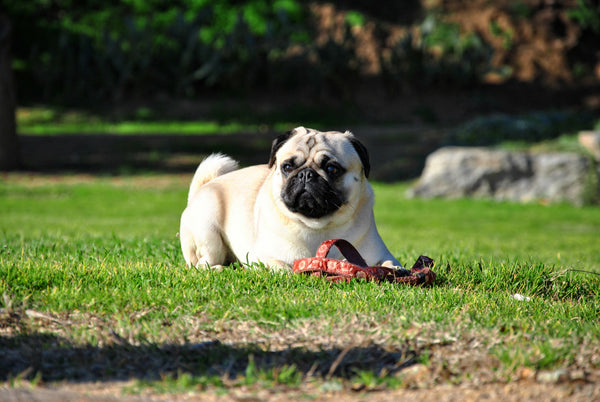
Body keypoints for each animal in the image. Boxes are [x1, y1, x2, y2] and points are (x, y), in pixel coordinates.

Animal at [179, 125, 404, 270]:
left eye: (332, 169)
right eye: (287, 167)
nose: (305, 174)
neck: (318, 227)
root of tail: (203, 187)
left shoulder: (379, 254)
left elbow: (389, 264)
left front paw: (395, 270)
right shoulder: (263, 255)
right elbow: (282, 267)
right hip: (209, 235)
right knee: (202, 264)